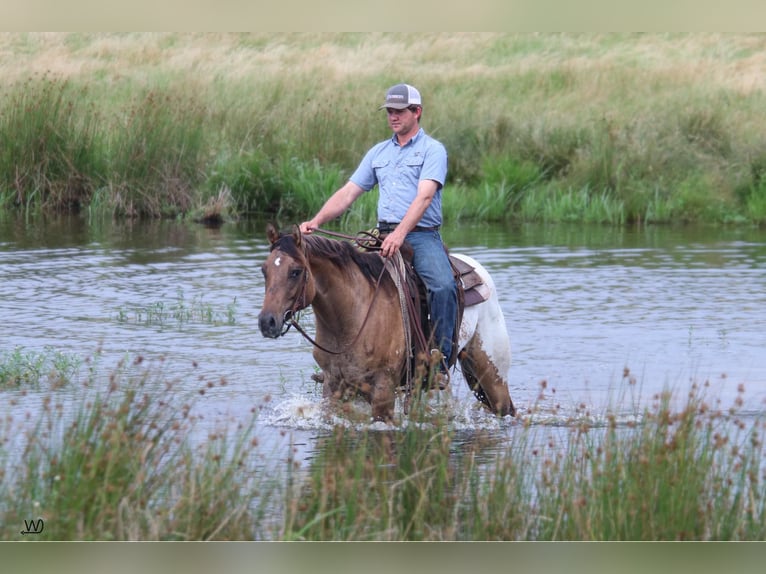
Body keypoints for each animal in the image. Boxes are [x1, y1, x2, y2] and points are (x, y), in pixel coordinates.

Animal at [258, 225, 516, 424]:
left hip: (492, 373)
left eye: (295, 271)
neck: (352, 318)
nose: (267, 322)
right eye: (264, 270)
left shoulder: (383, 390)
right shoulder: (333, 387)